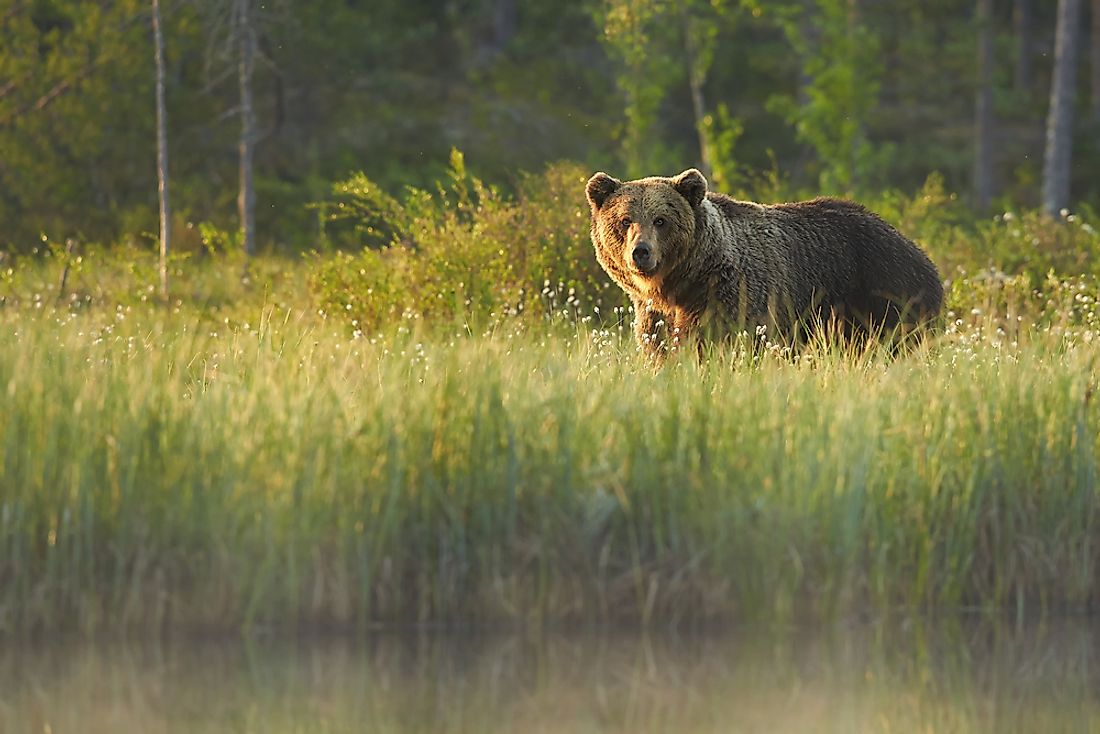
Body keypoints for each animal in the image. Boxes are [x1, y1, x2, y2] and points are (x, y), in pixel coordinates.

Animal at [585, 169, 946, 358]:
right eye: (625, 220)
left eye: (661, 220)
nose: (641, 252)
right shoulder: (655, 313)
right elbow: (660, 348)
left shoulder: (733, 296)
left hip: (884, 294)